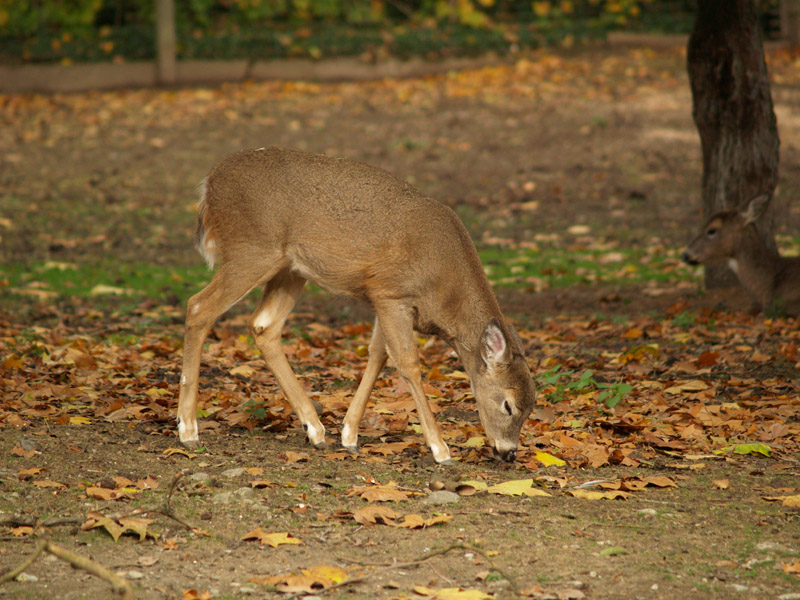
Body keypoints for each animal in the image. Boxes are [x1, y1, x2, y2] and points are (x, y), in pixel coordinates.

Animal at [176, 146, 536, 464]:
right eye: (508, 405)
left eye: (531, 406)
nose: (508, 454)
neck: (445, 294)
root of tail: (209, 183)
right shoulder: (394, 294)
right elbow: (407, 363)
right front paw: (441, 449)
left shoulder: (379, 296)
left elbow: (377, 355)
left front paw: (349, 434)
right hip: (252, 249)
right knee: (198, 307)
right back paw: (188, 429)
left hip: (290, 268)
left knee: (263, 324)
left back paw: (315, 429)